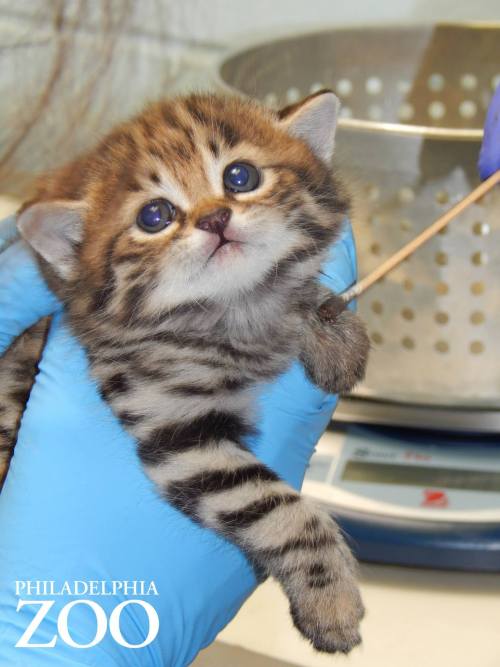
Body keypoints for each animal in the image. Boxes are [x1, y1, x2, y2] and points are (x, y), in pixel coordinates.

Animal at [1, 91, 370, 656]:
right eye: (155, 215)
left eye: (240, 176)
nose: (215, 218)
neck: (227, 313)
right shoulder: (177, 428)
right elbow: (275, 508)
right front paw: (330, 595)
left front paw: (329, 328)